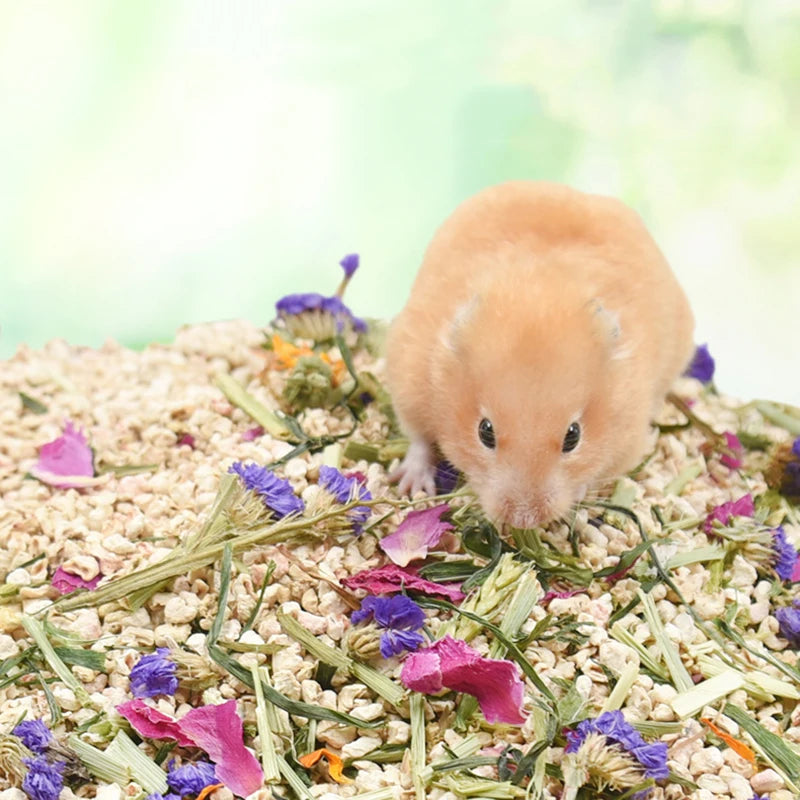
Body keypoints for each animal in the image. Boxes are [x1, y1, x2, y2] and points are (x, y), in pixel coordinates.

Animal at [385, 181, 694, 528]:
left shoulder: (629, 433)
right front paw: (412, 487)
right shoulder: (410, 378)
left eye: (573, 436)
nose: (524, 520)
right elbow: (419, 439)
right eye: (485, 432)